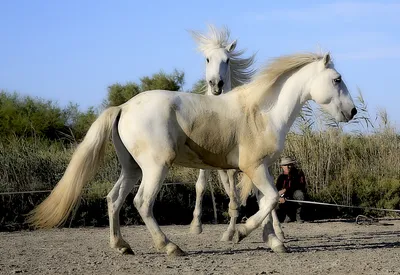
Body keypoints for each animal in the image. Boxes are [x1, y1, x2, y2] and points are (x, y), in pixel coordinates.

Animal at [28, 51, 356, 256]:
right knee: (142, 202)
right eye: (337, 79)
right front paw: (242, 233)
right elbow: (272, 200)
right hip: (155, 168)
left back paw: (122, 246)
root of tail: (123, 107)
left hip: (132, 168)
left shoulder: (260, 169)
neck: (263, 112)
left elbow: (267, 203)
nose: (352, 112)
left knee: (113, 199)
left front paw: (275, 243)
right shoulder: (254, 168)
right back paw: (170, 247)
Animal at [188, 25, 256, 242]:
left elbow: (233, 192)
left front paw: (231, 231)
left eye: (227, 60)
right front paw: (196, 226)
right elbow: (201, 185)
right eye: (207, 59)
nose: (216, 84)